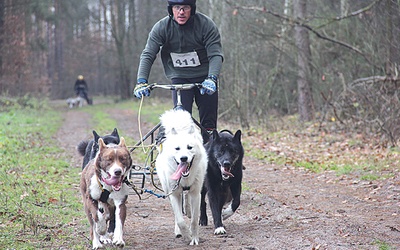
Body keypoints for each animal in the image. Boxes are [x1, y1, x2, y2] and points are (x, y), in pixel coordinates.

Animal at [155, 110, 208, 246]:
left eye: (190, 147)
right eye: (177, 148)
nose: (183, 158)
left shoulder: (196, 194)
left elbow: (194, 220)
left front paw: (194, 238)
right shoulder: (174, 194)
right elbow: (180, 220)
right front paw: (187, 236)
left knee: (187, 199)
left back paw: (188, 210)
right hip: (169, 192)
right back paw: (179, 231)